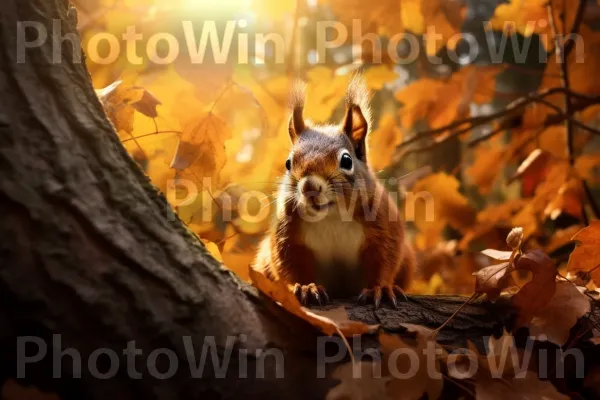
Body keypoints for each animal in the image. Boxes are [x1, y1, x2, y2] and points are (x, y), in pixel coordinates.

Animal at [251, 76, 414, 310]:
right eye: (288, 163)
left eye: (346, 160)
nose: (309, 187)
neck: (332, 216)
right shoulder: (286, 233)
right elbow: (288, 264)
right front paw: (306, 287)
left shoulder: (383, 224)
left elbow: (385, 259)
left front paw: (380, 289)